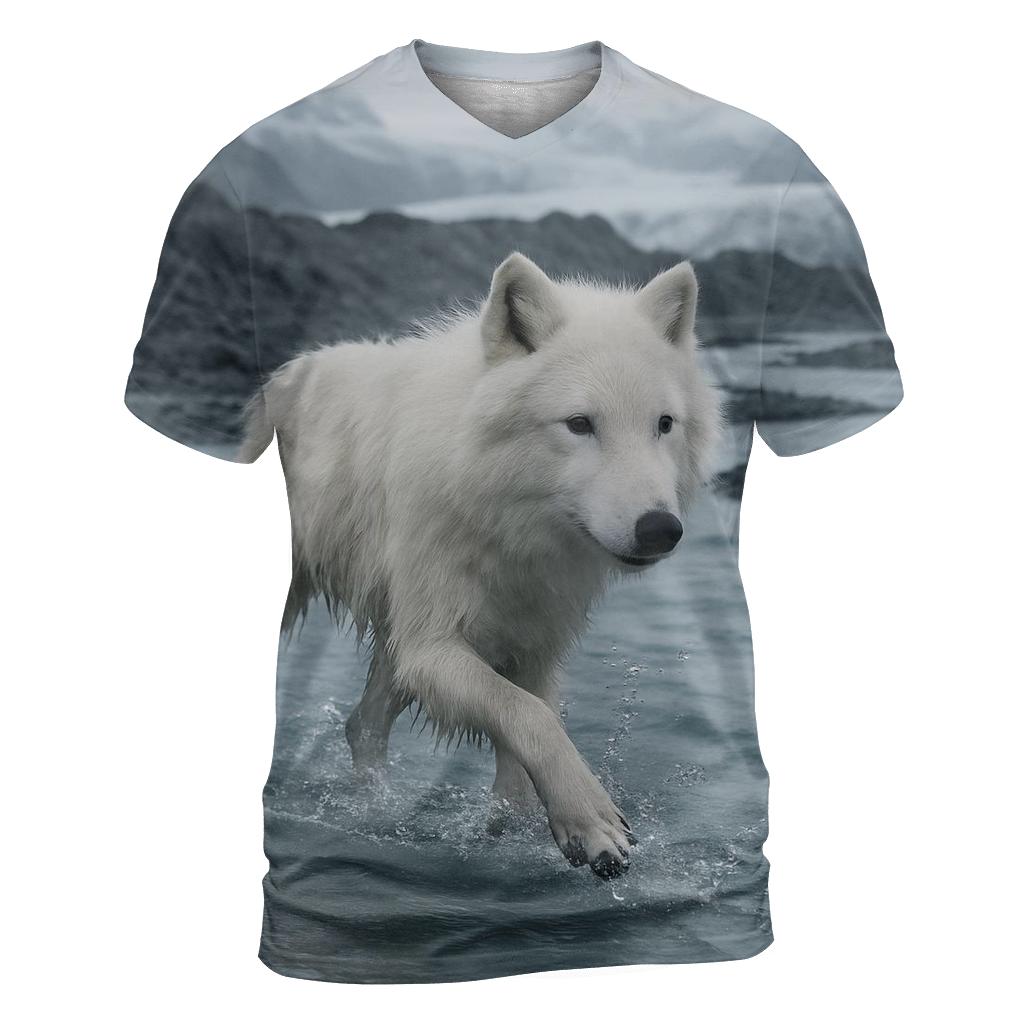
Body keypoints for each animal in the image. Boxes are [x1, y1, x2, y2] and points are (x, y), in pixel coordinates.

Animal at [241, 253, 722, 878]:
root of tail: (289, 370)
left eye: (663, 424)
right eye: (580, 423)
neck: (503, 516)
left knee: (361, 724)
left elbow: (525, 739)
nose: (660, 529)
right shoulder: (434, 647)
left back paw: (375, 808)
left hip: (397, 641)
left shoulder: (533, 643)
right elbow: (529, 717)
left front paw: (512, 831)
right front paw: (593, 823)